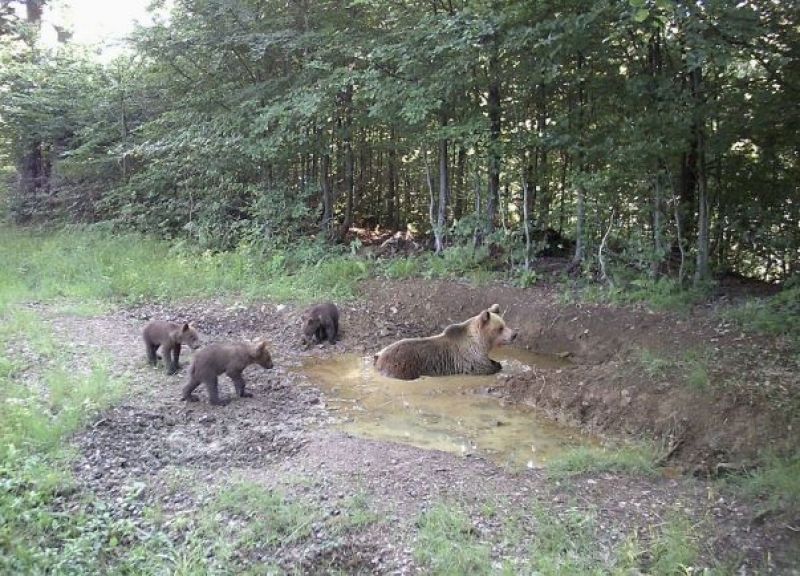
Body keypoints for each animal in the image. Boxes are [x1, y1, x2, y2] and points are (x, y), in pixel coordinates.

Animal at [376, 304, 520, 380]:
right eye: (500, 328)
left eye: (504, 324)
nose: (514, 334)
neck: (481, 343)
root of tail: (379, 358)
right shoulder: (468, 358)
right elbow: (483, 367)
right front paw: (498, 365)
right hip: (403, 366)